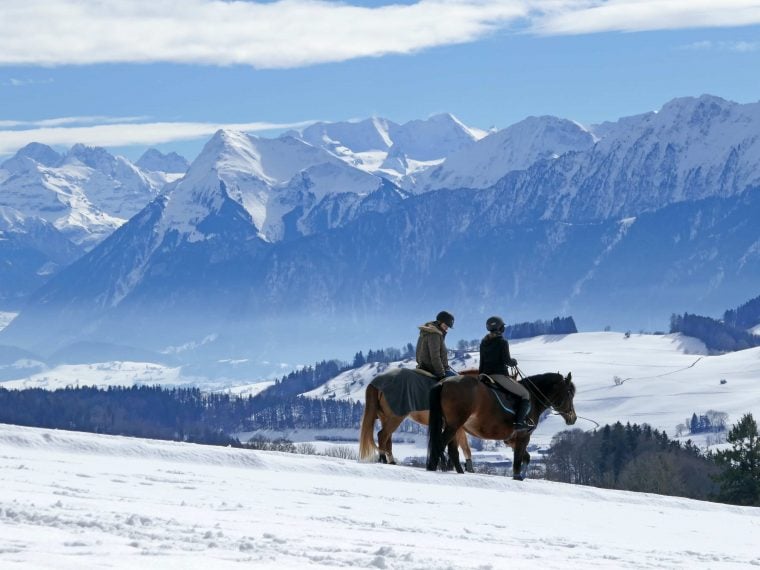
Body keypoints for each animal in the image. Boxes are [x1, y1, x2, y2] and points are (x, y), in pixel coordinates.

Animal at [428, 368, 576, 480]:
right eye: (570, 394)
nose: (573, 418)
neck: (533, 399)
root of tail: (444, 382)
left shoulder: (510, 440)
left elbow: (526, 457)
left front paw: (522, 475)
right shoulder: (523, 436)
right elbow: (518, 459)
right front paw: (517, 476)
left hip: (454, 427)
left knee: (451, 450)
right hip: (454, 426)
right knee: (440, 445)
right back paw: (432, 468)